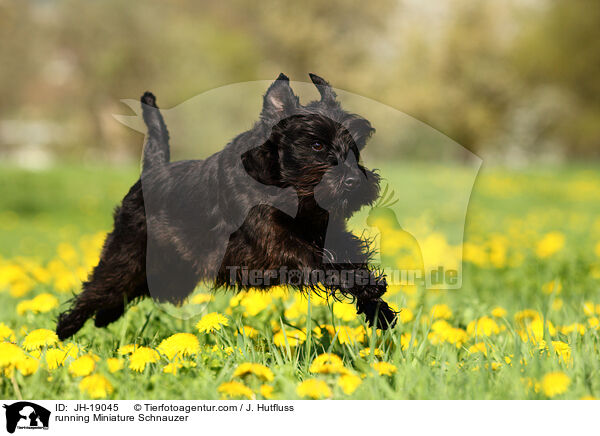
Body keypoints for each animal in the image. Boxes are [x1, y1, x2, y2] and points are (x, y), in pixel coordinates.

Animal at [54, 73, 396, 338]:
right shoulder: (275, 242)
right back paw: (65, 329)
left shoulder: (328, 233)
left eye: (355, 146)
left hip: (170, 273)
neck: (280, 183)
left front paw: (378, 307)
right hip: (128, 253)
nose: (354, 181)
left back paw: (104, 317)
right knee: (100, 286)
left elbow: (349, 257)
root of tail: (152, 171)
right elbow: (318, 261)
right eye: (316, 144)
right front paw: (366, 287)